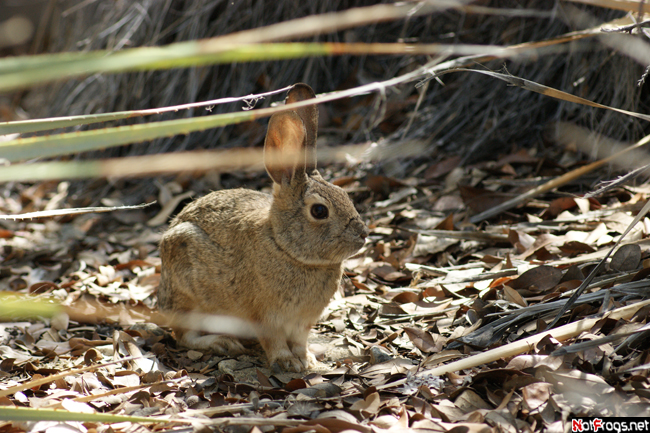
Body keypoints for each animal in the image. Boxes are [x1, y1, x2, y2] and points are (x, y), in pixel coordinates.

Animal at [158, 84, 368, 372]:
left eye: (345, 194)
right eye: (319, 211)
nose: (363, 235)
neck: (285, 247)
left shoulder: (302, 321)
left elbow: (300, 340)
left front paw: (307, 360)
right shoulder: (266, 316)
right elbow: (274, 341)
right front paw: (287, 362)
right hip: (189, 297)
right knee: (184, 336)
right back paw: (223, 343)